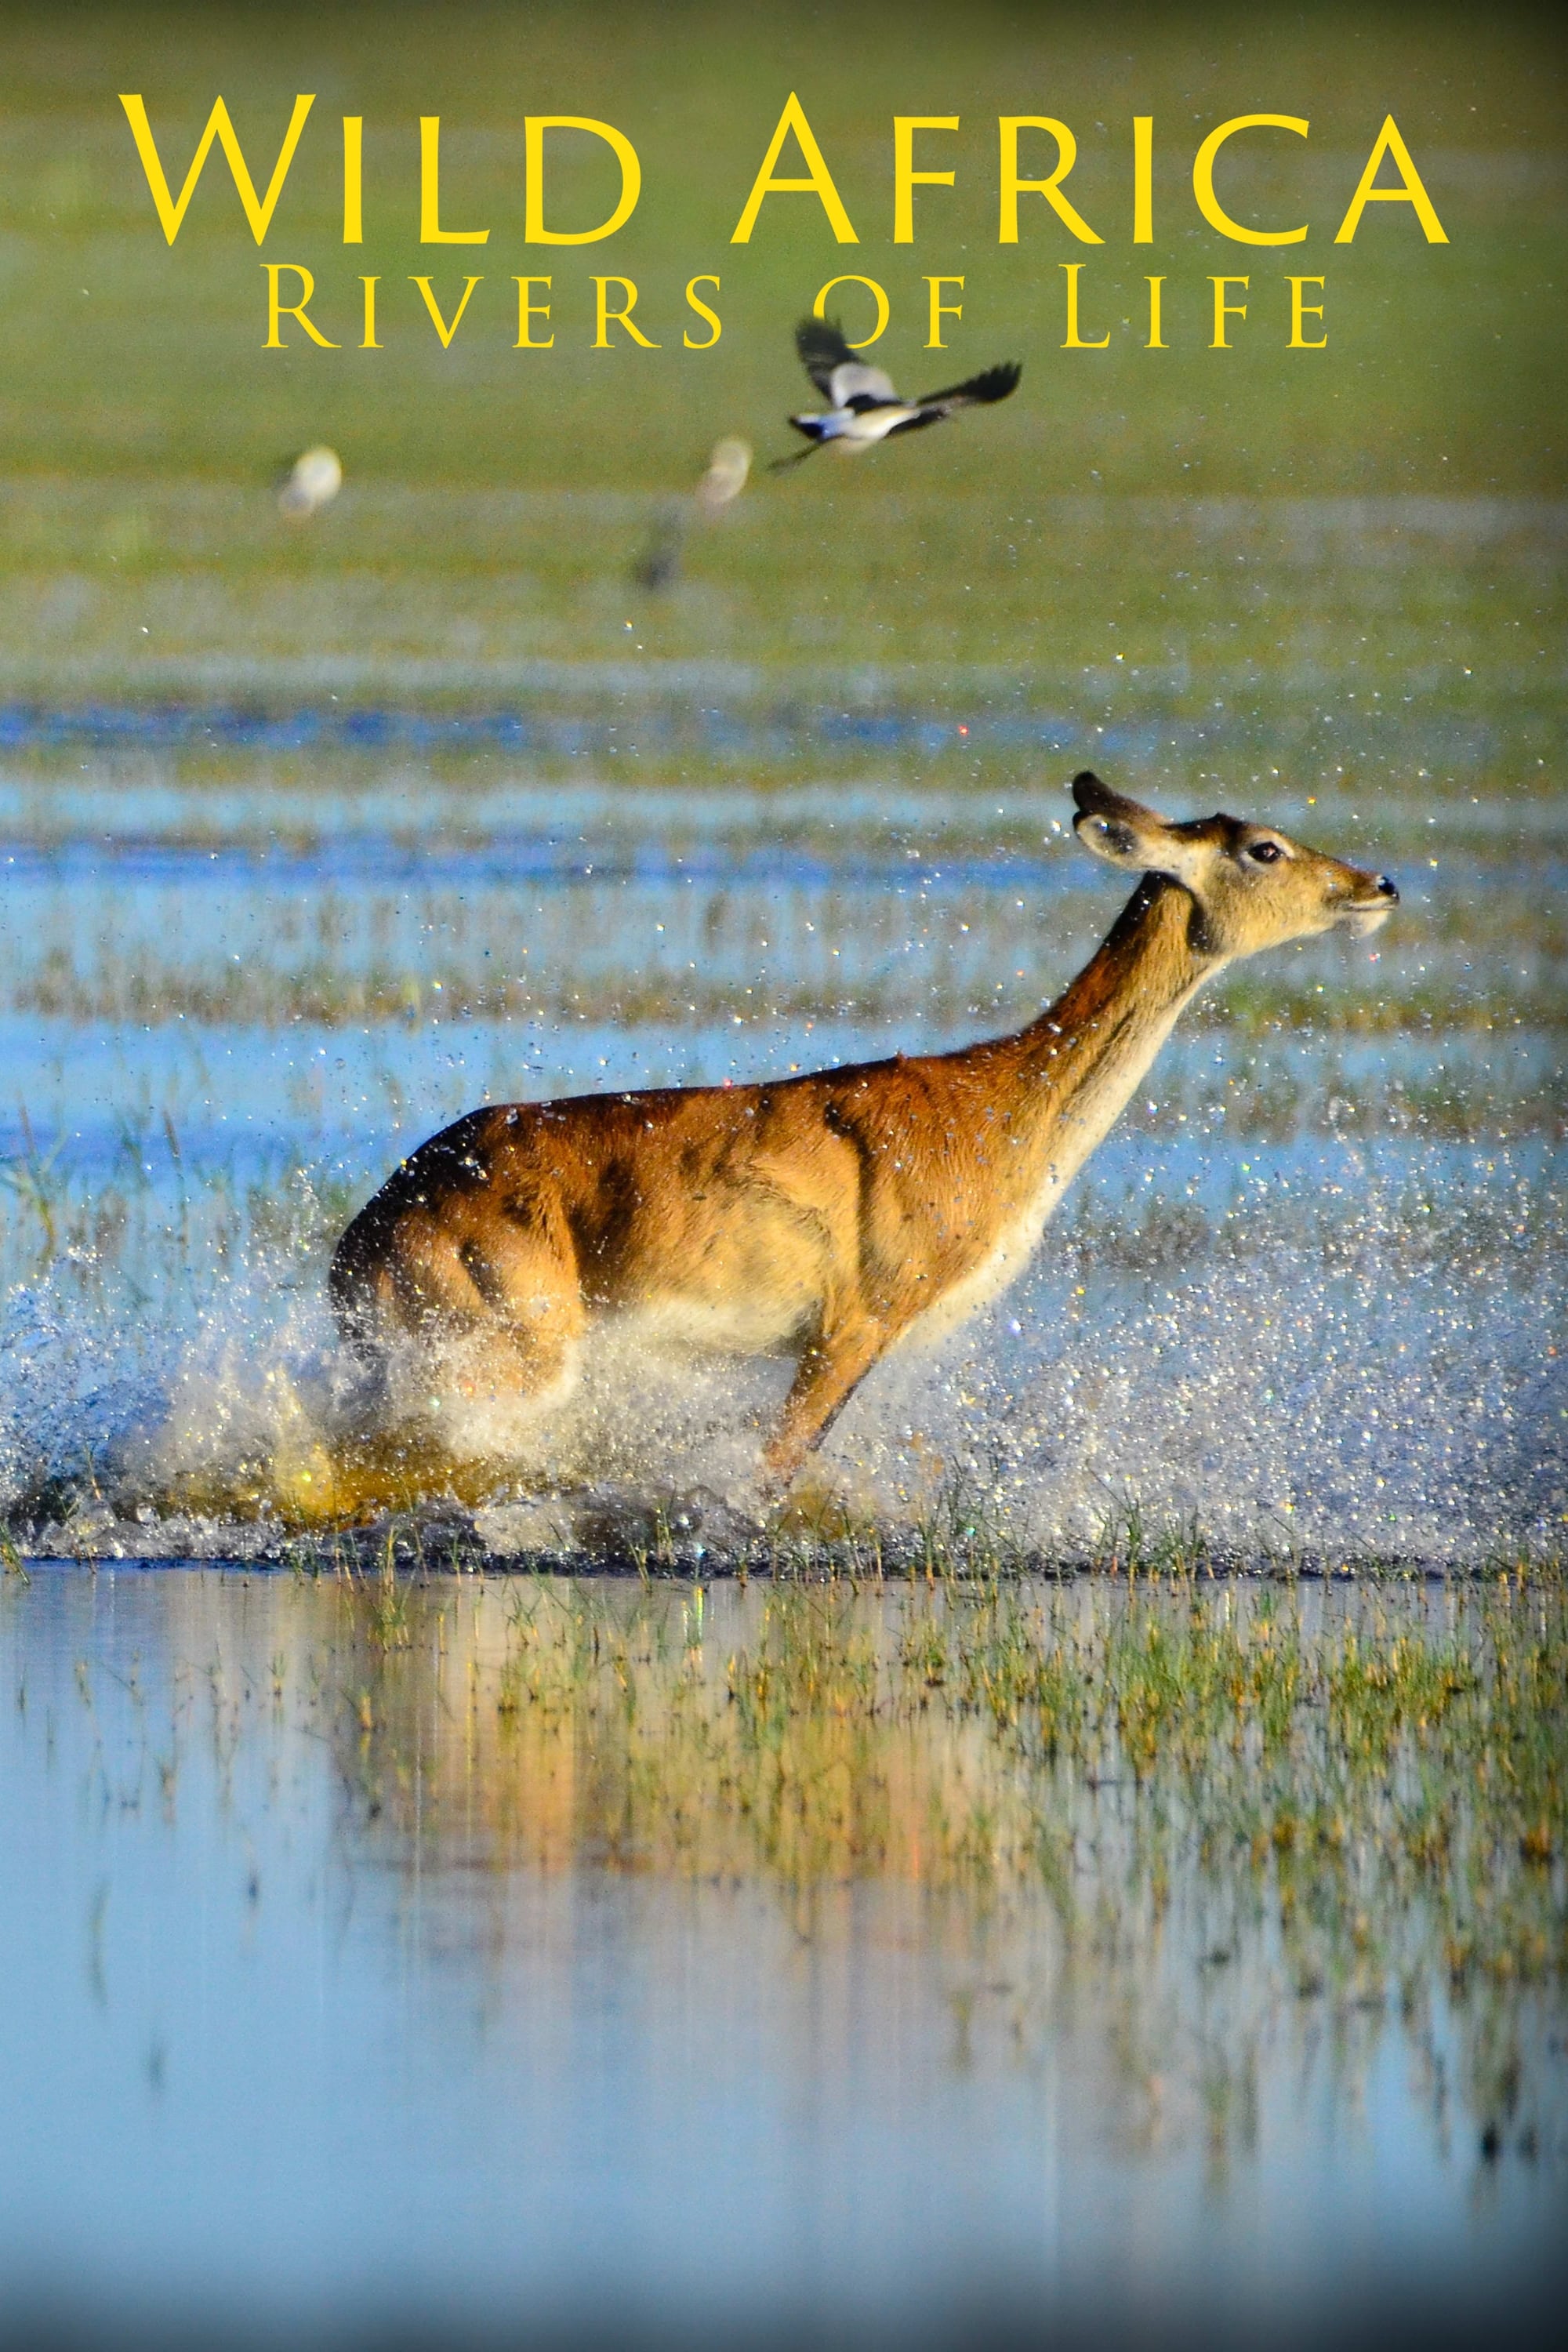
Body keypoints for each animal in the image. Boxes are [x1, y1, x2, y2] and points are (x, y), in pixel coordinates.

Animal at [331, 776, 1401, 1505]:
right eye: (1263, 847)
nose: (1376, 883)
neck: (995, 1112)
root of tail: (363, 1233)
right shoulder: (852, 1321)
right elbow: (772, 1468)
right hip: (508, 1344)